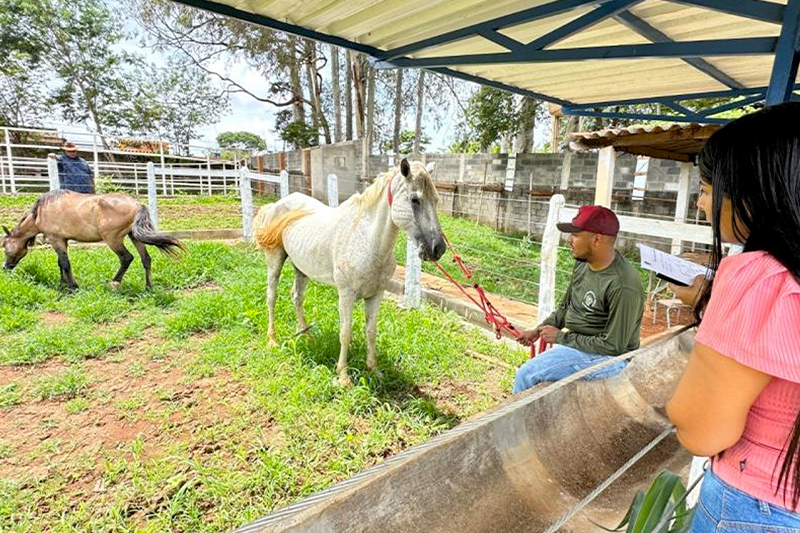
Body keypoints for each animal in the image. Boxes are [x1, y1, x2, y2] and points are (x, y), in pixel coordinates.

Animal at [1, 190, 184, 290]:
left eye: (4, 246)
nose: (5, 267)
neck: (40, 212)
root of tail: (137, 204)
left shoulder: (56, 239)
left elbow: (65, 263)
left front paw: (73, 287)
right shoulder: (63, 240)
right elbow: (61, 262)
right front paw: (63, 283)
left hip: (113, 239)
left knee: (126, 258)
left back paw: (114, 283)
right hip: (134, 236)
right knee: (146, 259)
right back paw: (148, 286)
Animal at [255, 157, 446, 382]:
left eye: (436, 200)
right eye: (415, 199)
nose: (438, 248)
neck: (367, 241)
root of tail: (277, 205)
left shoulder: (376, 295)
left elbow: (371, 331)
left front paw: (374, 369)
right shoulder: (345, 295)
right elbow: (345, 332)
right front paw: (343, 375)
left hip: (301, 268)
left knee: (297, 297)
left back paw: (308, 337)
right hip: (275, 260)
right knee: (271, 297)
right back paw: (272, 339)